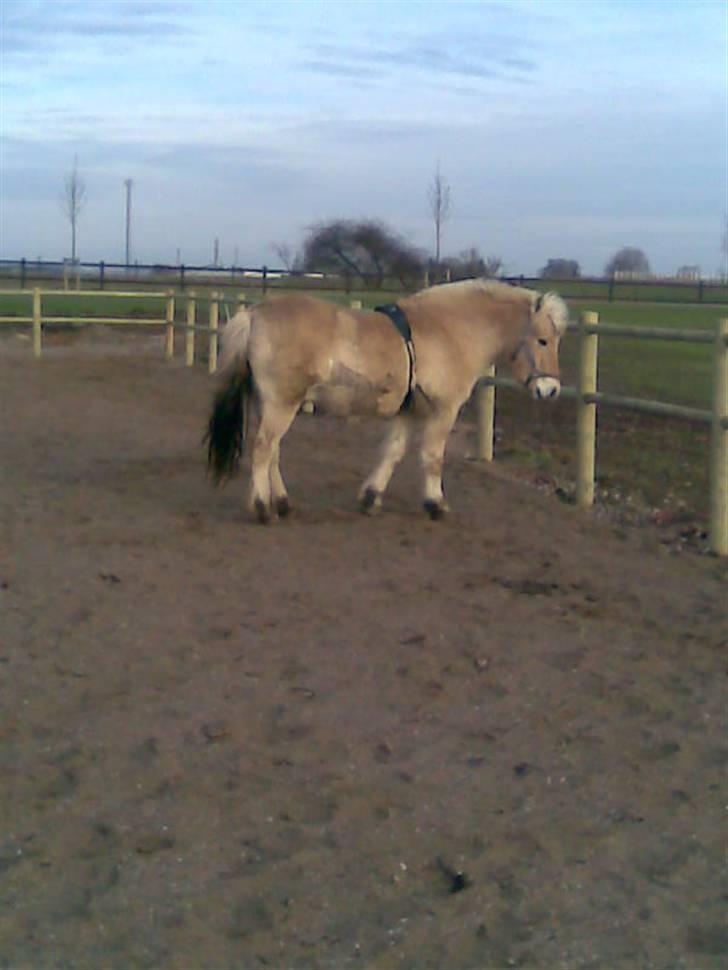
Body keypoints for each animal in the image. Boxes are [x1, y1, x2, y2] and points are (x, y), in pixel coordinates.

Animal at [205, 278, 568, 520]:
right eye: (543, 340)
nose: (550, 390)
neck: (449, 331)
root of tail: (254, 315)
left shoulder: (408, 412)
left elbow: (392, 453)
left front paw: (370, 497)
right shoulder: (443, 411)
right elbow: (432, 457)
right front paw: (436, 504)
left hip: (272, 403)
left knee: (272, 452)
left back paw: (282, 502)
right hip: (282, 403)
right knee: (263, 449)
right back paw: (262, 508)